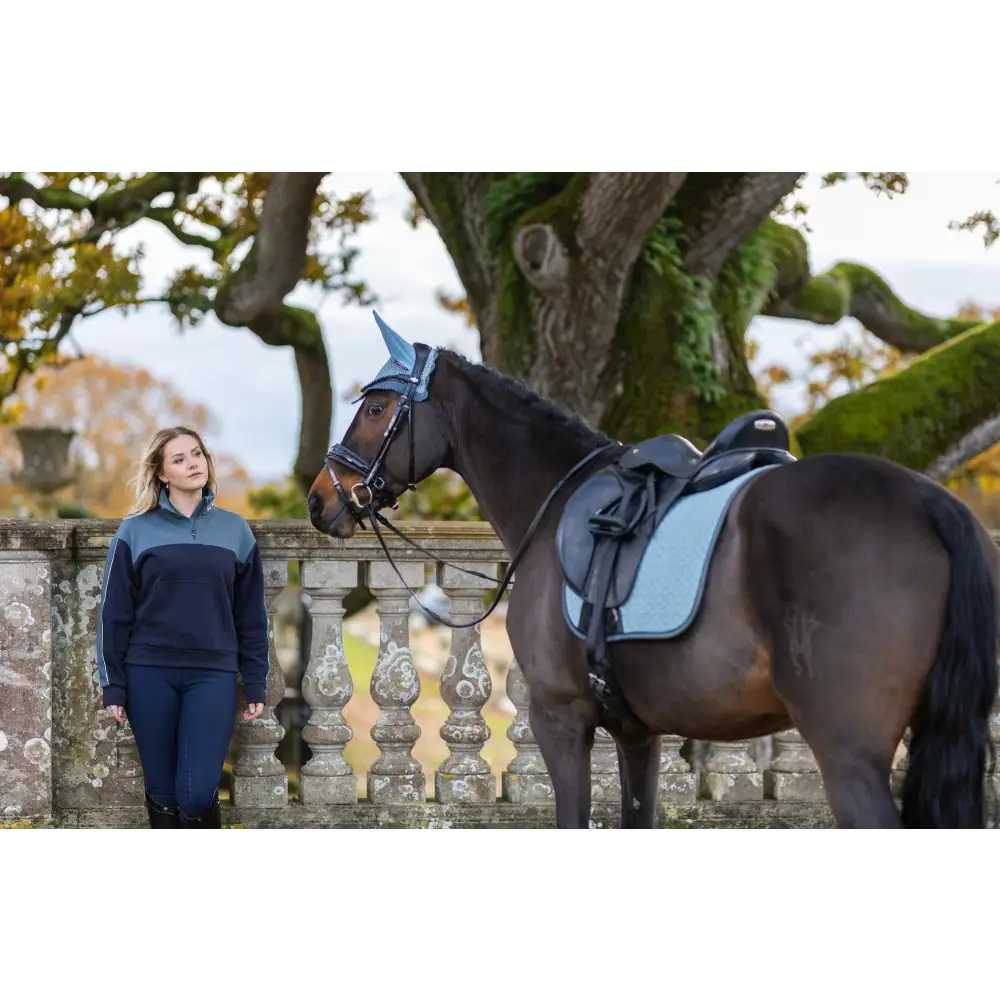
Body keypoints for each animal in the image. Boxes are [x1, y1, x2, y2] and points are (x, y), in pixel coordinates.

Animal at [308, 316, 996, 832]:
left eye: (375, 407)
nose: (320, 499)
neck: (556, 500)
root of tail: (929, 502)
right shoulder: (638, 734)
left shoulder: (561, 720)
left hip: (848, 753)